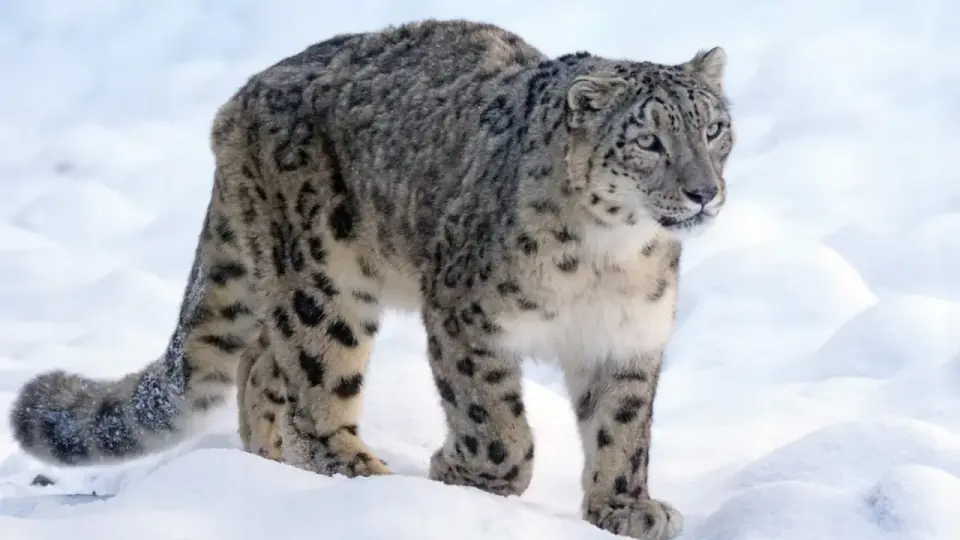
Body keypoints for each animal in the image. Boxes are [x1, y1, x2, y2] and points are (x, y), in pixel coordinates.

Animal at [8, 19, 734, 540]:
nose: (703, 191)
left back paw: (269, 468)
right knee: (309, 379)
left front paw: (625, 507)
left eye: (714, 128)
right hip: (323, 281)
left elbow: (623, 429)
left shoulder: (627, 338)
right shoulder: (467, 318)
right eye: (648, 141)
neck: (610, 259)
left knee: (260, 365)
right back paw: (356, 475)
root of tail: (239, 100)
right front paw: (463, 473)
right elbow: (495, 422)